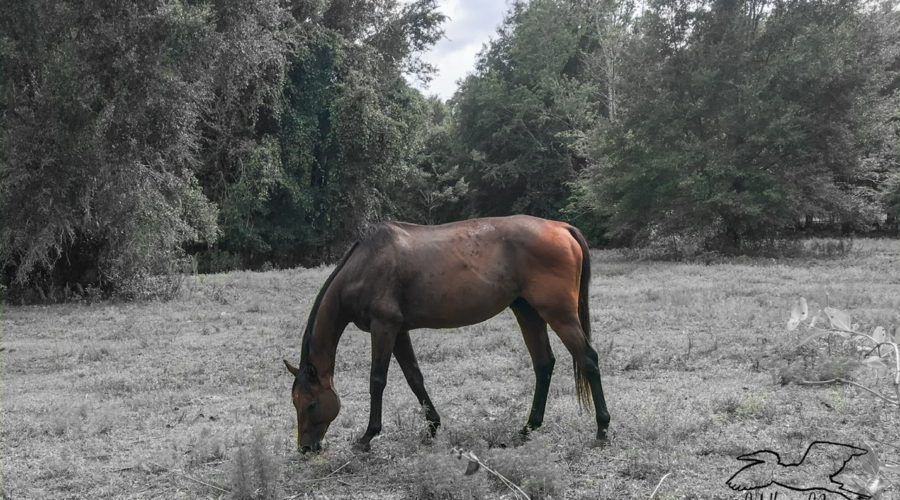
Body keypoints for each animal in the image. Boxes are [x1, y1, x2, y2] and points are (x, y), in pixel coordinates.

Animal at [284, 215, 612, 454]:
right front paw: (432, 427)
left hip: (558, 314)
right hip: (528, 312)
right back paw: (528, 428)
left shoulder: (384, 327)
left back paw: (602, 428)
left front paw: (368, 436)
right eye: (295, 403)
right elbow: (414, 378)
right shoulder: (399, 331)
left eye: (310, 404)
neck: (365, 266)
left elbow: (377, 381)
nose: (305, 448)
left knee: (588, 360)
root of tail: (562, 228)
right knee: (544, 364)